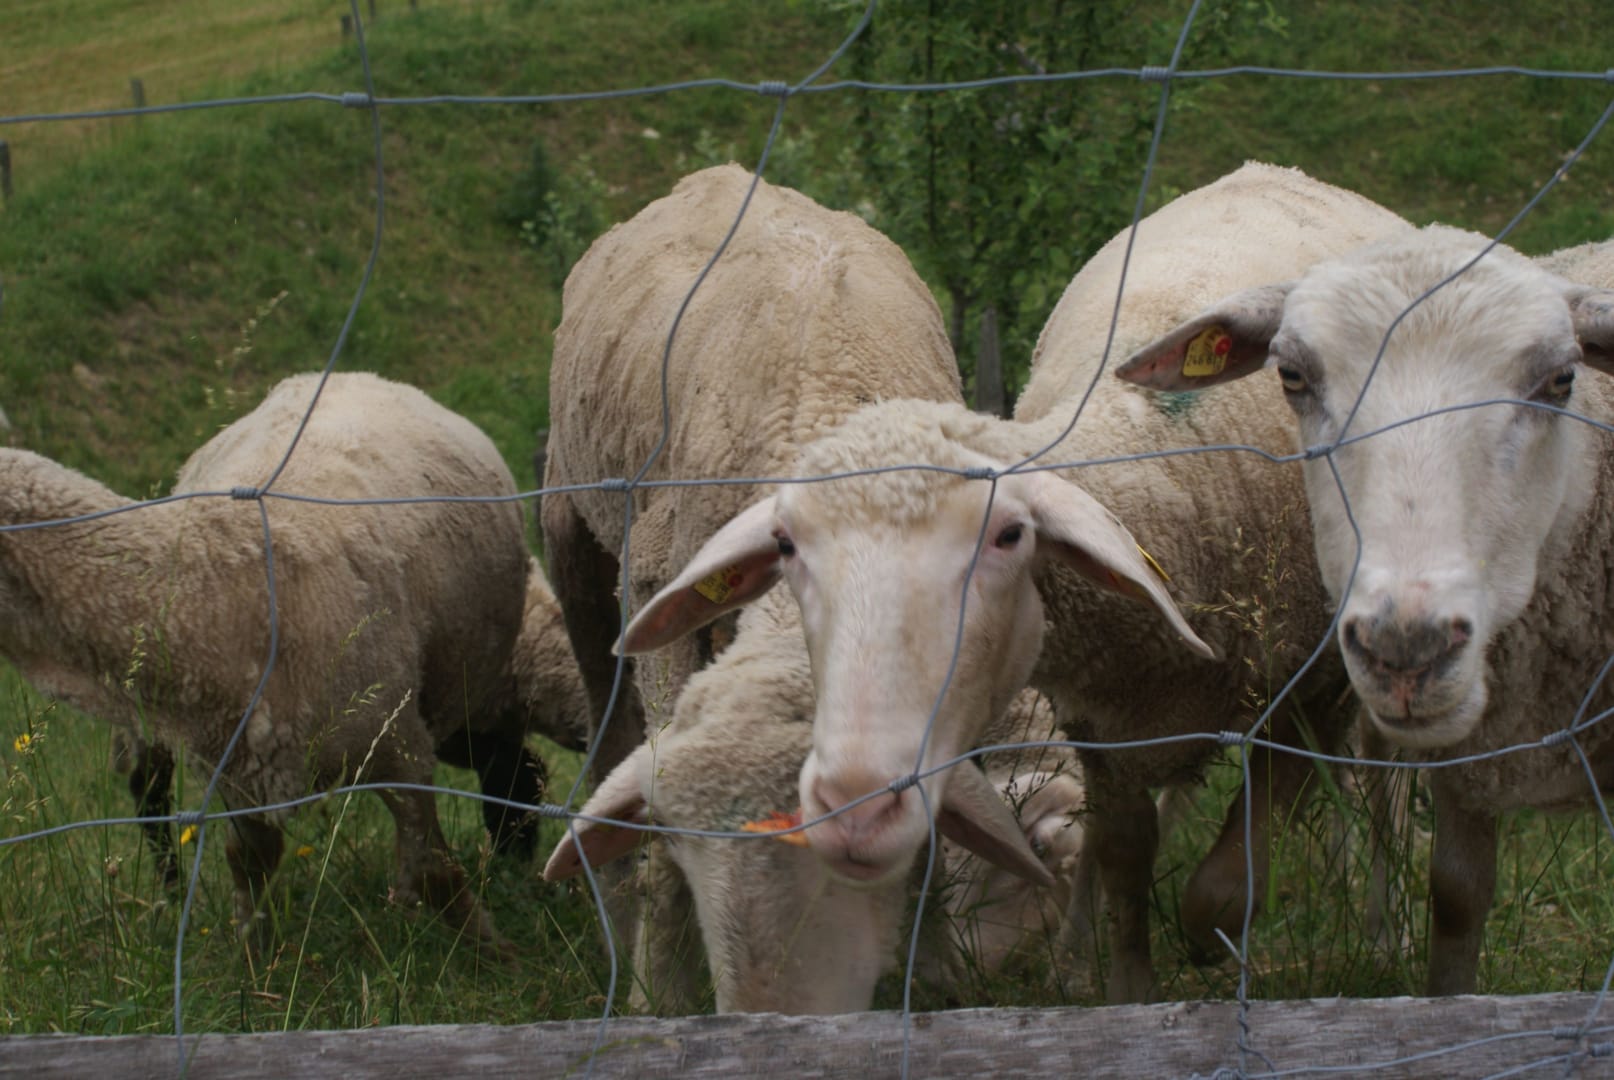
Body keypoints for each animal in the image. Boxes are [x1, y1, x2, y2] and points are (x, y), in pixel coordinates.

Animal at [0, 371, 536, 955]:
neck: (214, 588)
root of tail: (349, 375)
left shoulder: (399, 745)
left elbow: (436, 869)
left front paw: (493, 954)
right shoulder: (238, 771)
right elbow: (248, 865)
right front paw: (254, 959)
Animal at [618, 161, 1413, 1002]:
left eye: (1008, 536)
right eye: (791, 549)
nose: (854, 802)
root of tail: (1269, 171)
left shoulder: (1310, 687)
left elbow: (1229, 877)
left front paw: (1207, 940)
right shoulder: (1101, 718)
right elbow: (1124, 850)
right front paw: (1123, 983)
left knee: (1378, 783)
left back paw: (1382, 926)